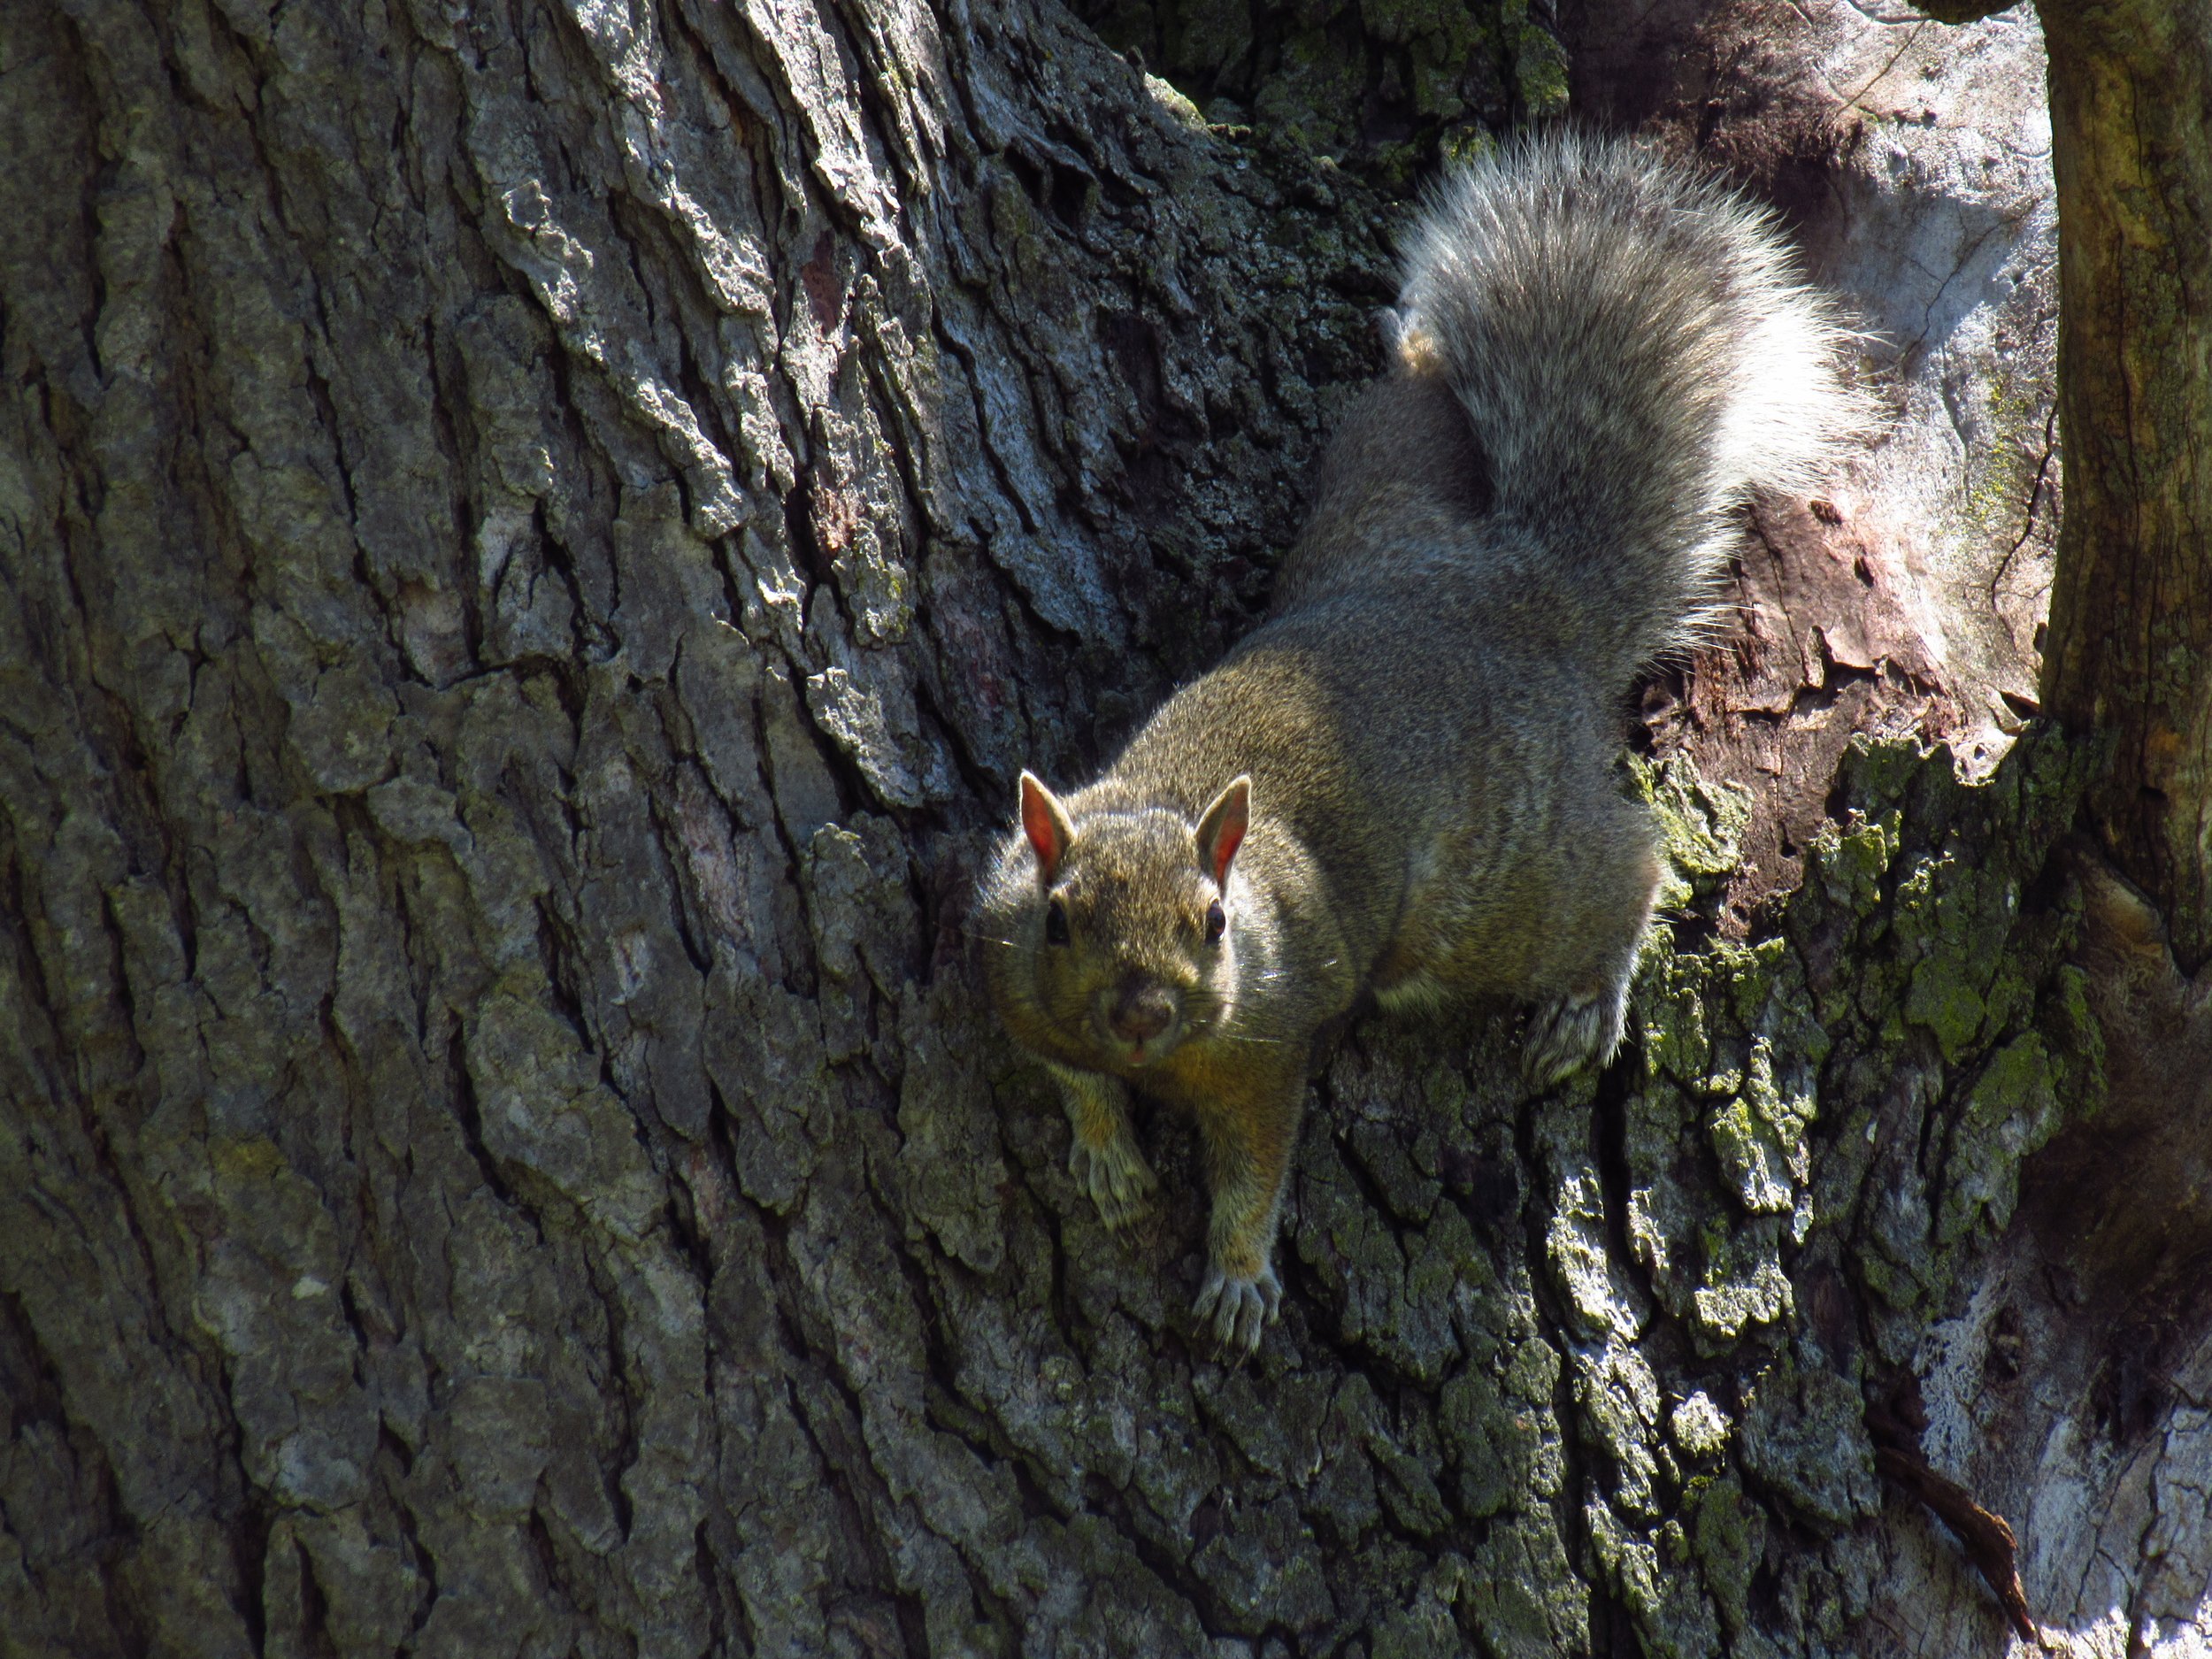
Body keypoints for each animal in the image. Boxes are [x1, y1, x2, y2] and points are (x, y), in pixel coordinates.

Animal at [975, 132, 1863, 1355]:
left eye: (1213, 924)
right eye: (1059, 919)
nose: (1143, 1011)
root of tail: (1527, 595)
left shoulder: (1270, 1043)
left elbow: (1255, 1165)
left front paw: (1239, 1276)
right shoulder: (1005, 955)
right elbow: (1063, 1071)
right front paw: (1106, 1150)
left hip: (1494, 893)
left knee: (1622, 871)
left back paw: (1587, 995)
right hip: (1377, 483)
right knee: (1409, 411)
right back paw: (1413, 349)